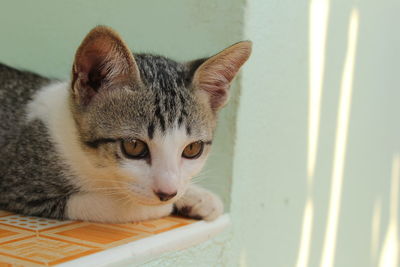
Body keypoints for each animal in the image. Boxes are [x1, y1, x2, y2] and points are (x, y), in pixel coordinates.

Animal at [0, 26, 250, 224]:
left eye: (192, 149)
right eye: (133, 146)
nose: (167, 193)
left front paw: (198, 196)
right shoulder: (20, 186)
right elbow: (120, 206)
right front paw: (163, 206)